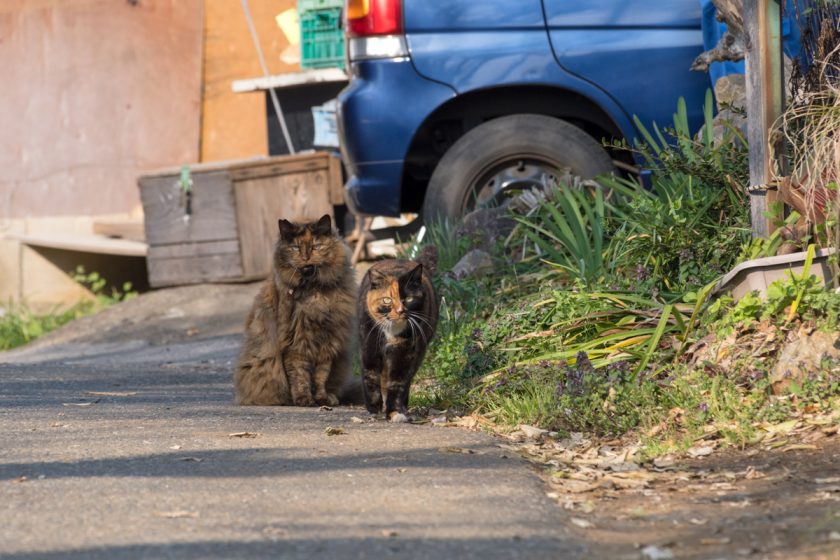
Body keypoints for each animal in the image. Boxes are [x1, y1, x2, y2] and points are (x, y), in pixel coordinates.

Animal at [235, 214, 356, 406]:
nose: (306, 258)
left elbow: (321, 376)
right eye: (295, 248)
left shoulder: (328, 341)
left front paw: (321, 398)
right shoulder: (295, 343)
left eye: (315, 246)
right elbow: (300, 375)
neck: (314, 292)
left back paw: (331, 398)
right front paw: (304, 399)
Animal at [356, 247, 440, 422]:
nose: (401, 310)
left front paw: (394, 411)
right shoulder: (369, 346)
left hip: (419, 352)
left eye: (408, 298)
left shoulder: (404, 351)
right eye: (387, 300)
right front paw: (374, 408)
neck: (391, 331)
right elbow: (370, 376)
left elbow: (397, 382)